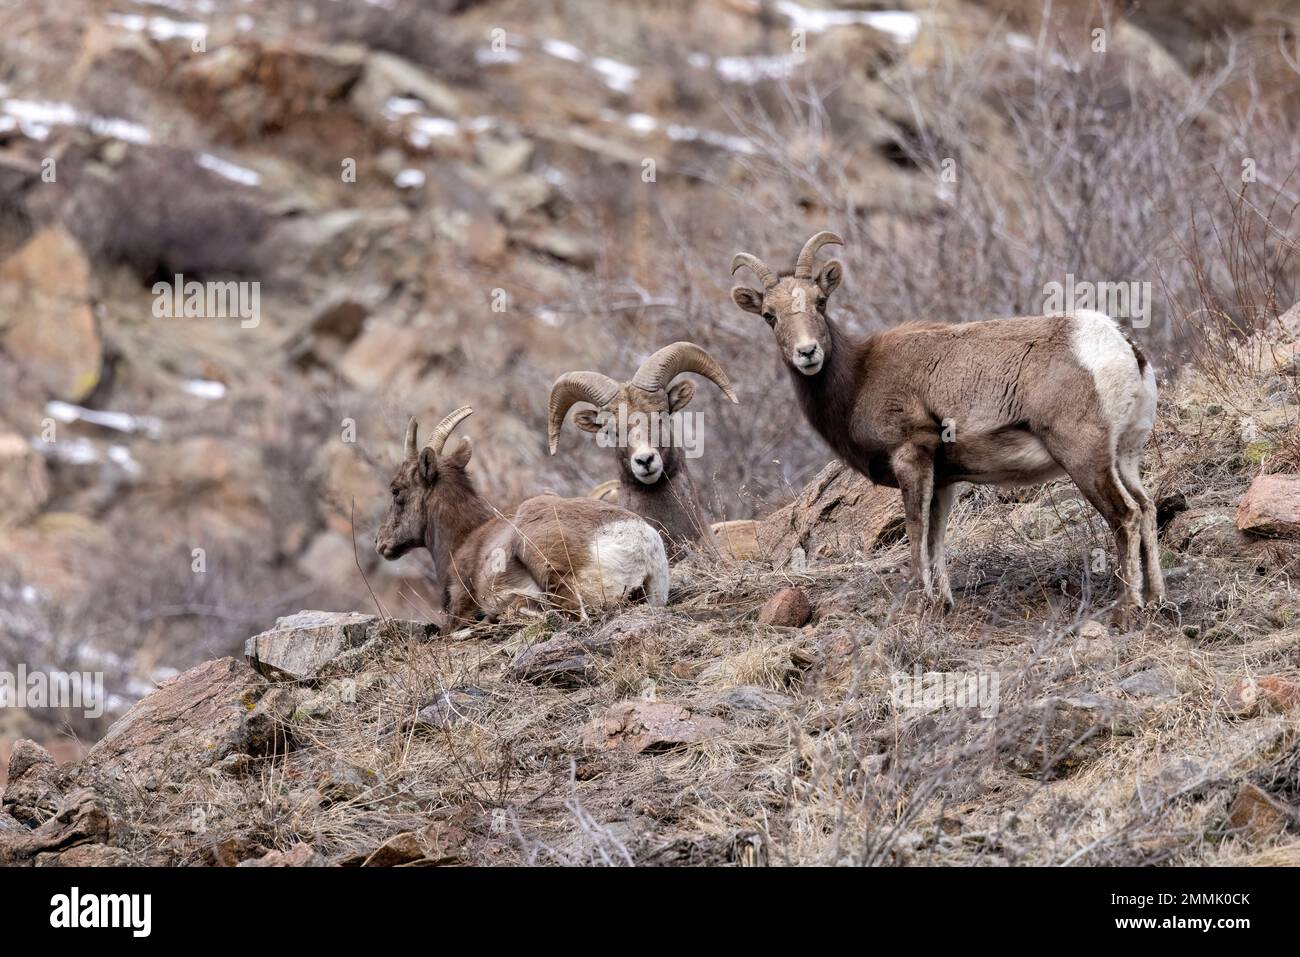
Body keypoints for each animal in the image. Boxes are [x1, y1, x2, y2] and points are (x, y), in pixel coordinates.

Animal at [371, 408, 665, 624]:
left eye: (396, 490)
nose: (380, 542)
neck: (464, 539)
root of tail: (640, 545)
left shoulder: (459, 608)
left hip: (540, 557)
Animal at [733, 232, 1170, 621]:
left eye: (820, 302)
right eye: (770, 316)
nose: (807, 353)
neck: (858, 379)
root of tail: (1123, 348)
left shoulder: (911, 458)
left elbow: (915, 531)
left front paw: (920, 604)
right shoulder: (943, 480)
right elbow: (936, 538)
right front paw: (942, 604)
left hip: (1084, 458)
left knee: (1126, 516)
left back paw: (1126, 609)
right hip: (1124, 458)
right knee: (1147, 508)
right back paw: (1156, 600)